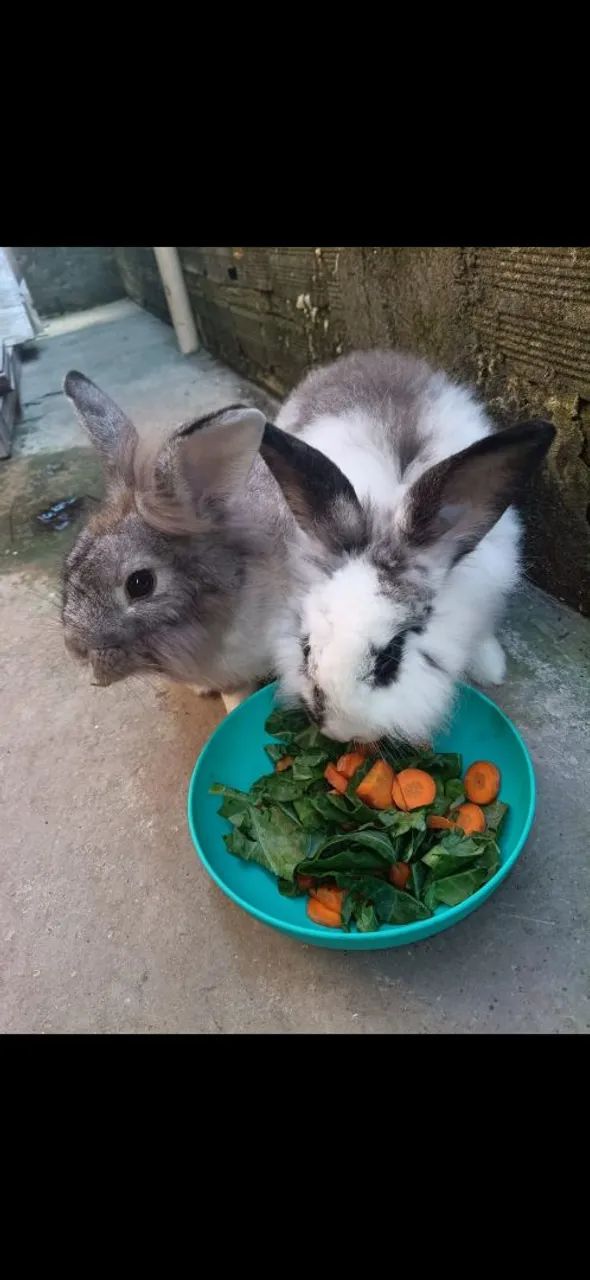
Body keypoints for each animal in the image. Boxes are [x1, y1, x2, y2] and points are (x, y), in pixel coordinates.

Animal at [258, 349, 555, 746]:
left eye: (390, 658)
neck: (385, 526)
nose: (338, 731)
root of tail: (372, 356)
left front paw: (491, 669)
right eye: (305, 648)